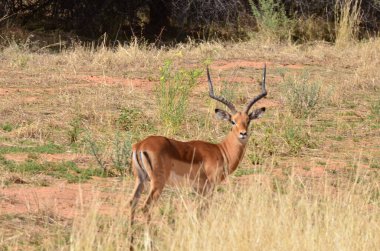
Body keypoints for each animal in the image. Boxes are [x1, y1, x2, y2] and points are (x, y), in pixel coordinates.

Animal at [130, 64, 268, 218]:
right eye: (233, 121)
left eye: (248, 120)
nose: (243, 133)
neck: (221, 151)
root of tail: (141, 145)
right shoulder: (208, 187)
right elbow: (204, 210)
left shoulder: (198, 188)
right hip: (157, 183)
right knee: (146, 207)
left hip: (140, 179)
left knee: (132, 202)